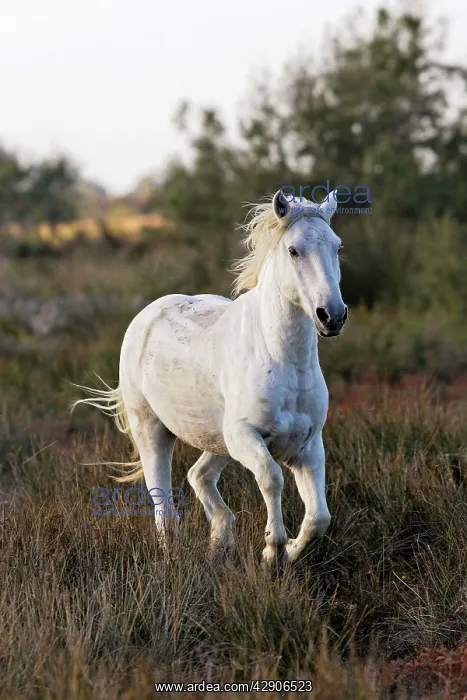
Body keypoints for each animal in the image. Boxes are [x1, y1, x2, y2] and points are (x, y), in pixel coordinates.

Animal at [74, 190, 347, 565]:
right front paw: (271, 549)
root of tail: (147, 314)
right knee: (163, 502)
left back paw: (220, 541)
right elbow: (271, 478)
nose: (332, 316)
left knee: (198, 475)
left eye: (337, 246)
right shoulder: (246, 436)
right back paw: (175, 555)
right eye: (293, 250)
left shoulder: (307, 446)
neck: (284, 361)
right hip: (153, 430)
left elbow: (319, 517)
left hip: (218, 440)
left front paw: (289, 552)